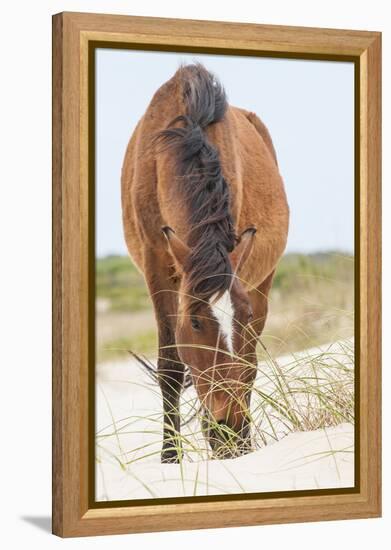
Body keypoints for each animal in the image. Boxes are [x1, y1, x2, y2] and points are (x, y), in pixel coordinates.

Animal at [122, 62, 290, 464]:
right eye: (196, 323)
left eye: (243, 315)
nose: (228, 428)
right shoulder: (156, 264)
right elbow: (170, 366)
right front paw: (169, 459)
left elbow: (244, 362)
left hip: (264, 280)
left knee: (250, 361)